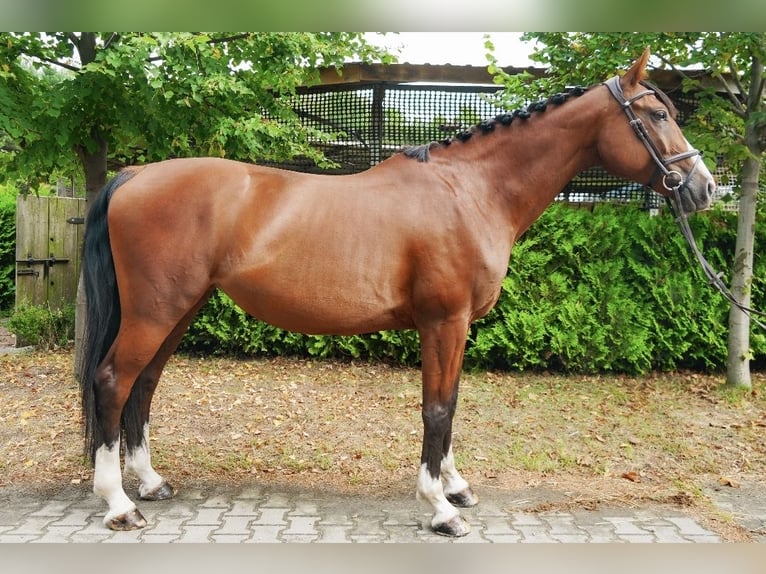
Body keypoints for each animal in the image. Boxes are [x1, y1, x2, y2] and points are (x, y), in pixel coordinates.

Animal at [78, 48, 715, 536]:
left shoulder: (457, 326)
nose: (703, 188)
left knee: (143, 386)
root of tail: (137, 175)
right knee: (112, 381)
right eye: (656, 113)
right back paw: (119, 504)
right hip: (156, 311)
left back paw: (151, 483)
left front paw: (455, 488)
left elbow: (452, 404)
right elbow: (436, 409)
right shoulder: (443, 320)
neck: (469, 191)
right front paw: (439, 509)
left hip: (179, 310)